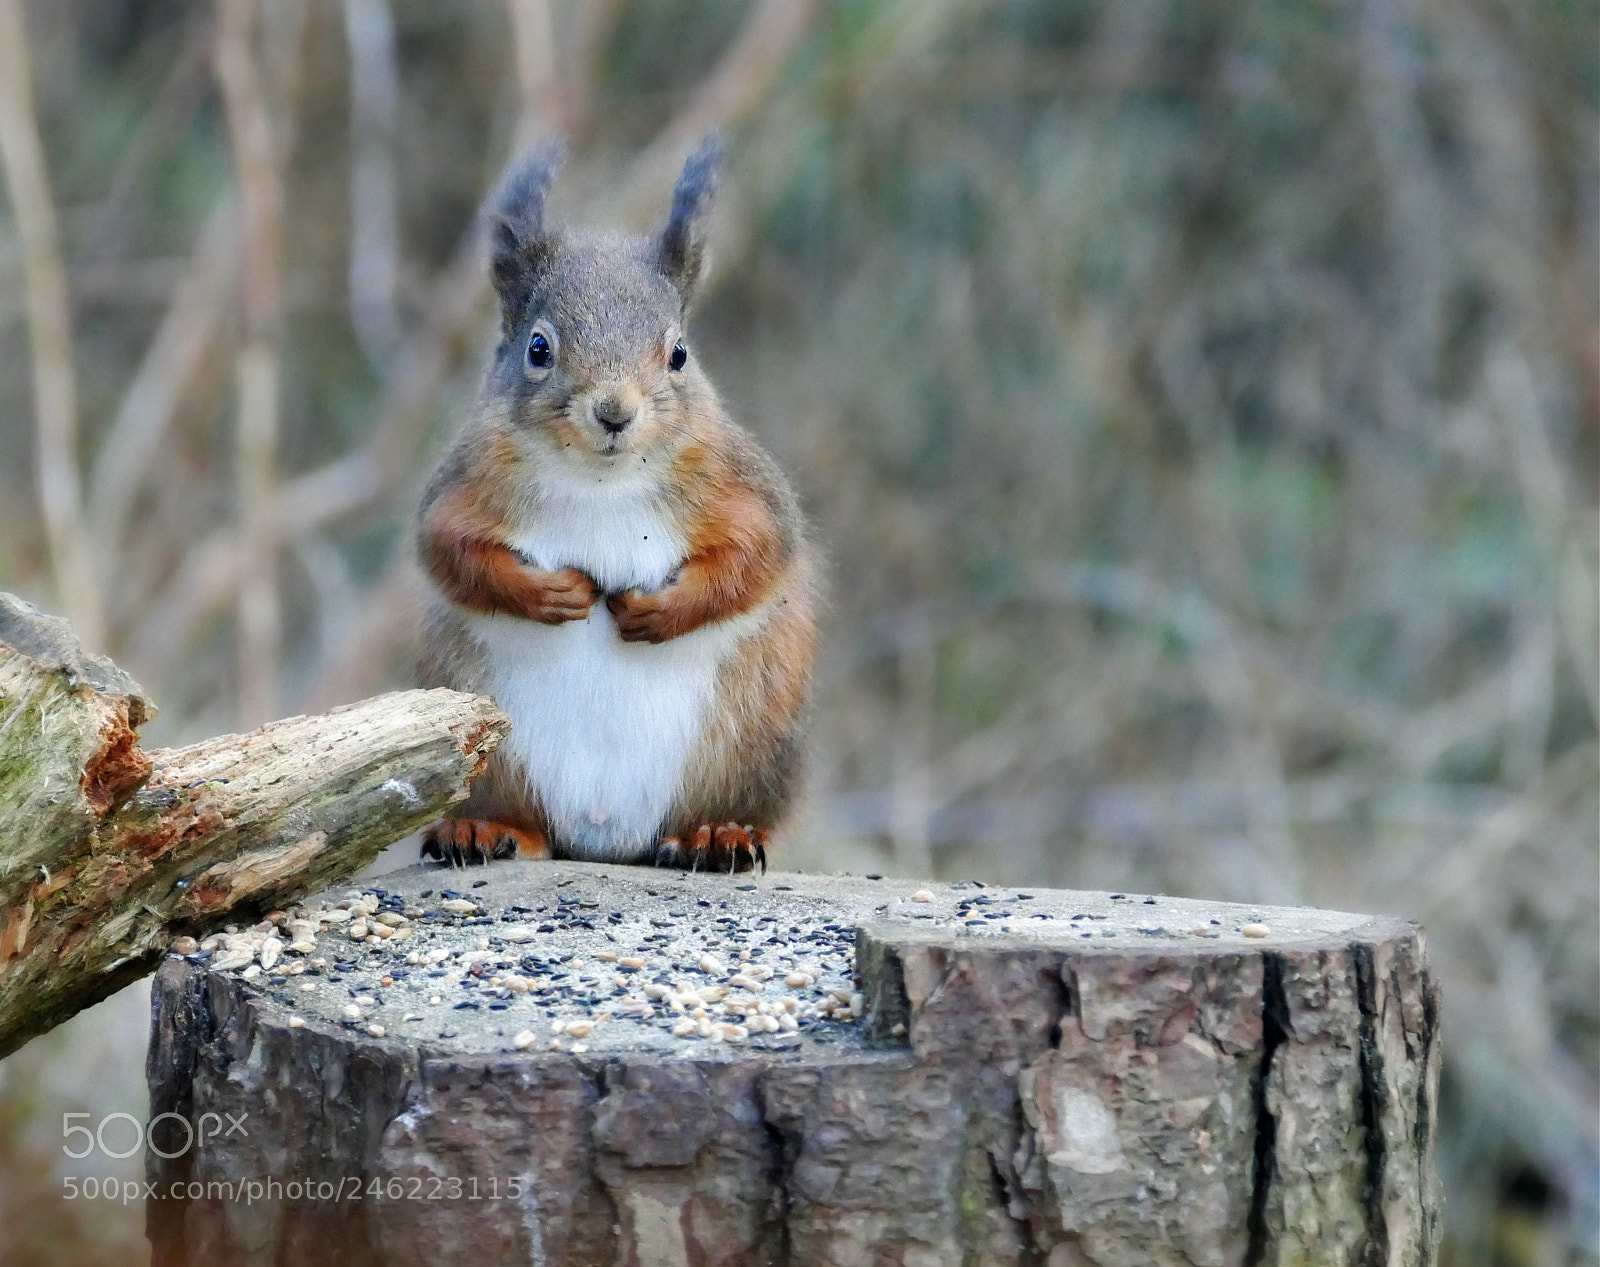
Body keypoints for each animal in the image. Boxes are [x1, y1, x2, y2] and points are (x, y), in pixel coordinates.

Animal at [415, 137, 817, 873]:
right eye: (538, 348)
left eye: (679, 353)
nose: (614, 412)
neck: (601, 480)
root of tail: (605, 836)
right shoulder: (464, 483)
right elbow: (448, 548)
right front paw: (549, 595)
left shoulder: (739, 484)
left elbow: (757, 554)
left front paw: (659, 611)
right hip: (490, 750)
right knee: (524, 822)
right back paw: (485, 830)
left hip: (748, 748)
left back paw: (716, 835)